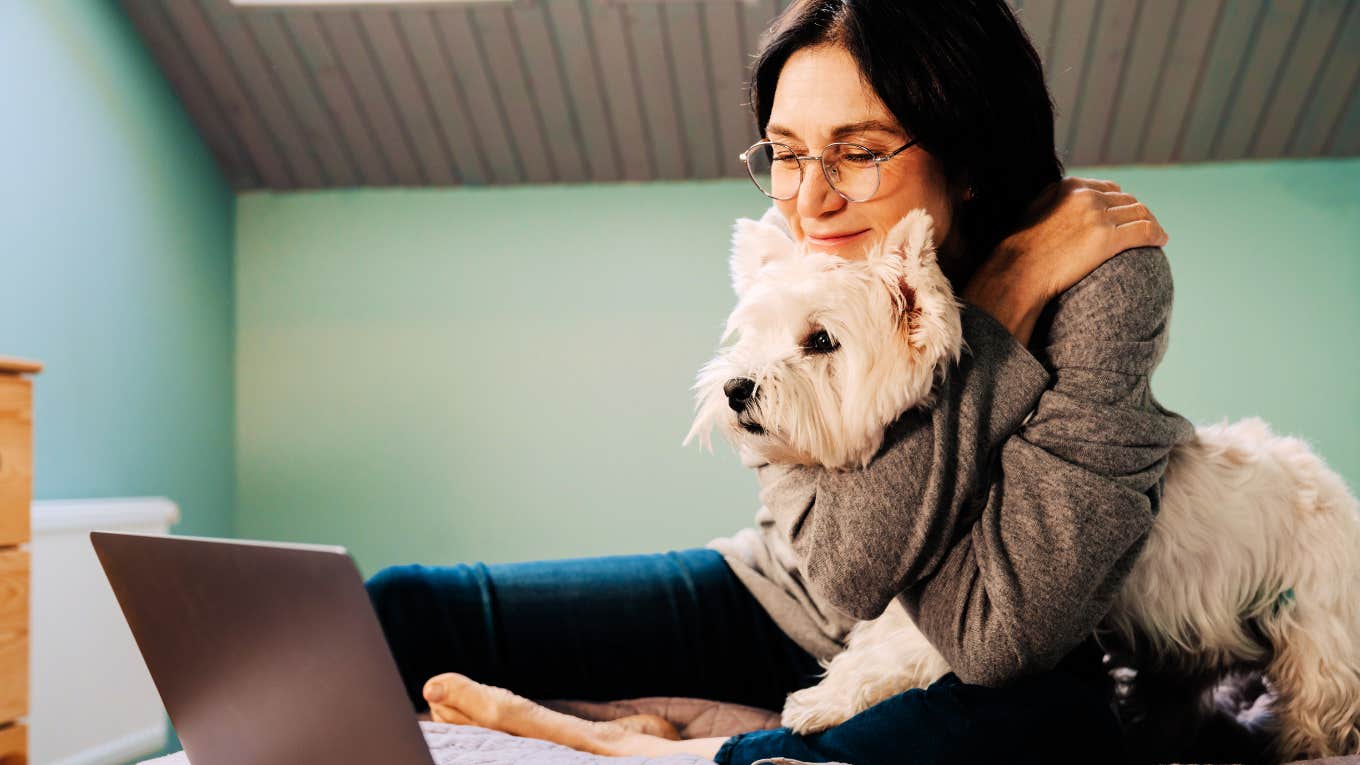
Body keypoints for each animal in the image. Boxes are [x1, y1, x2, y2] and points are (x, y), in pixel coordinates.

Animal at [685, 206, 1360, 756]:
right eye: (756, 334)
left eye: (821, 340)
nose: (735, 388)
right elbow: (878, 639)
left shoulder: (980, 613)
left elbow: (902, 653)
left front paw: (820, 702)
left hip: (1314, 624)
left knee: (1324, 701)